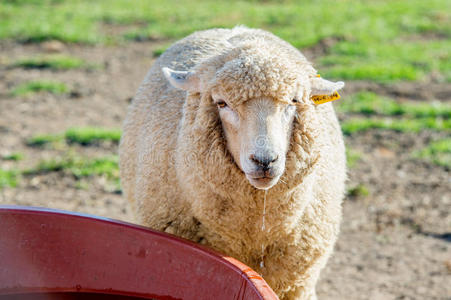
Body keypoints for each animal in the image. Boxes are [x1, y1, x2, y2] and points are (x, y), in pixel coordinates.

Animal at [120, 26, 346, 300]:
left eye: (294, 101)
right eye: (221, 103)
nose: (264, 160)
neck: (253, 232)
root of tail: (235, 29)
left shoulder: (296, 284)